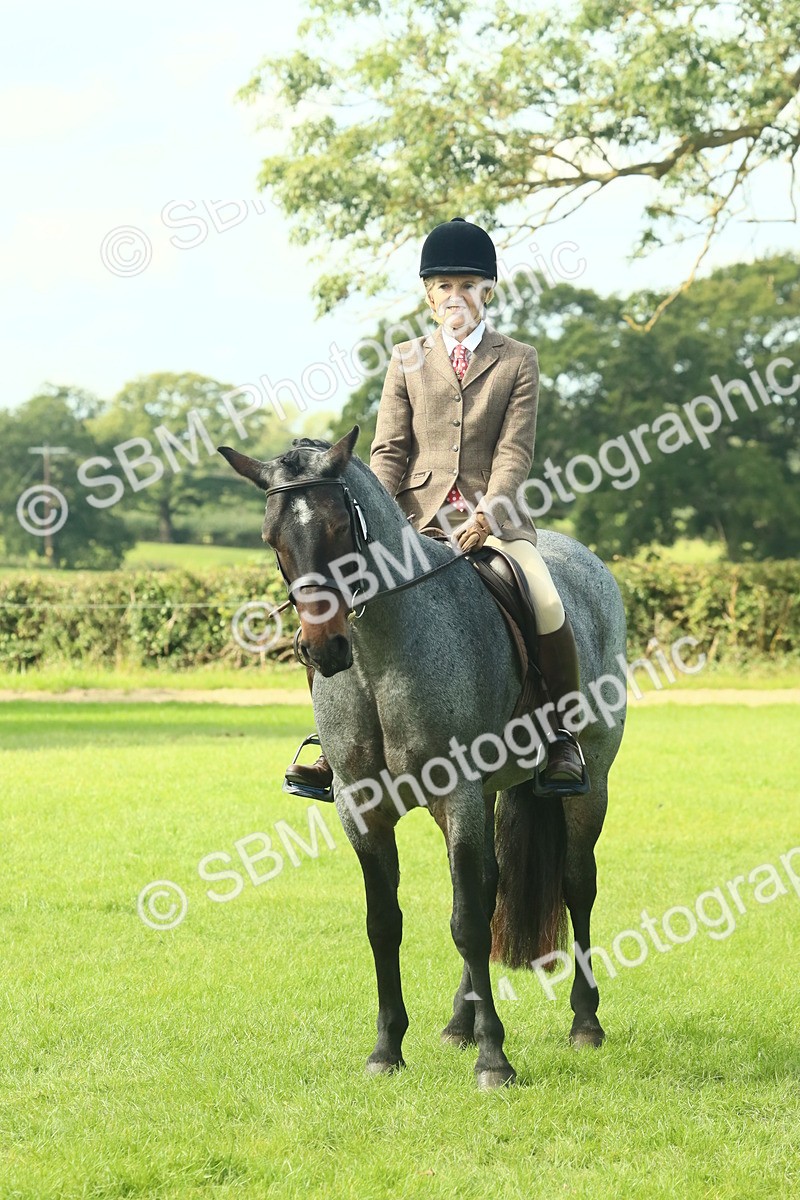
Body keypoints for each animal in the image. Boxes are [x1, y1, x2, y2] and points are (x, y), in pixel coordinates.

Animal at [219, 425, 627, 1089]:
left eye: (340, 526)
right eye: (270, 537)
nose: (323, 649)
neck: (378, 655)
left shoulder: (456, 791)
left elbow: (466, 922)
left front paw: (494, 1061)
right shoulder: (361, 807)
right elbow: (385, 923)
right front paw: (387, 1050)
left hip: (591, 781)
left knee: (576, 883)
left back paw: (585, 1023)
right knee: (491, 889)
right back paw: (460, 1024)